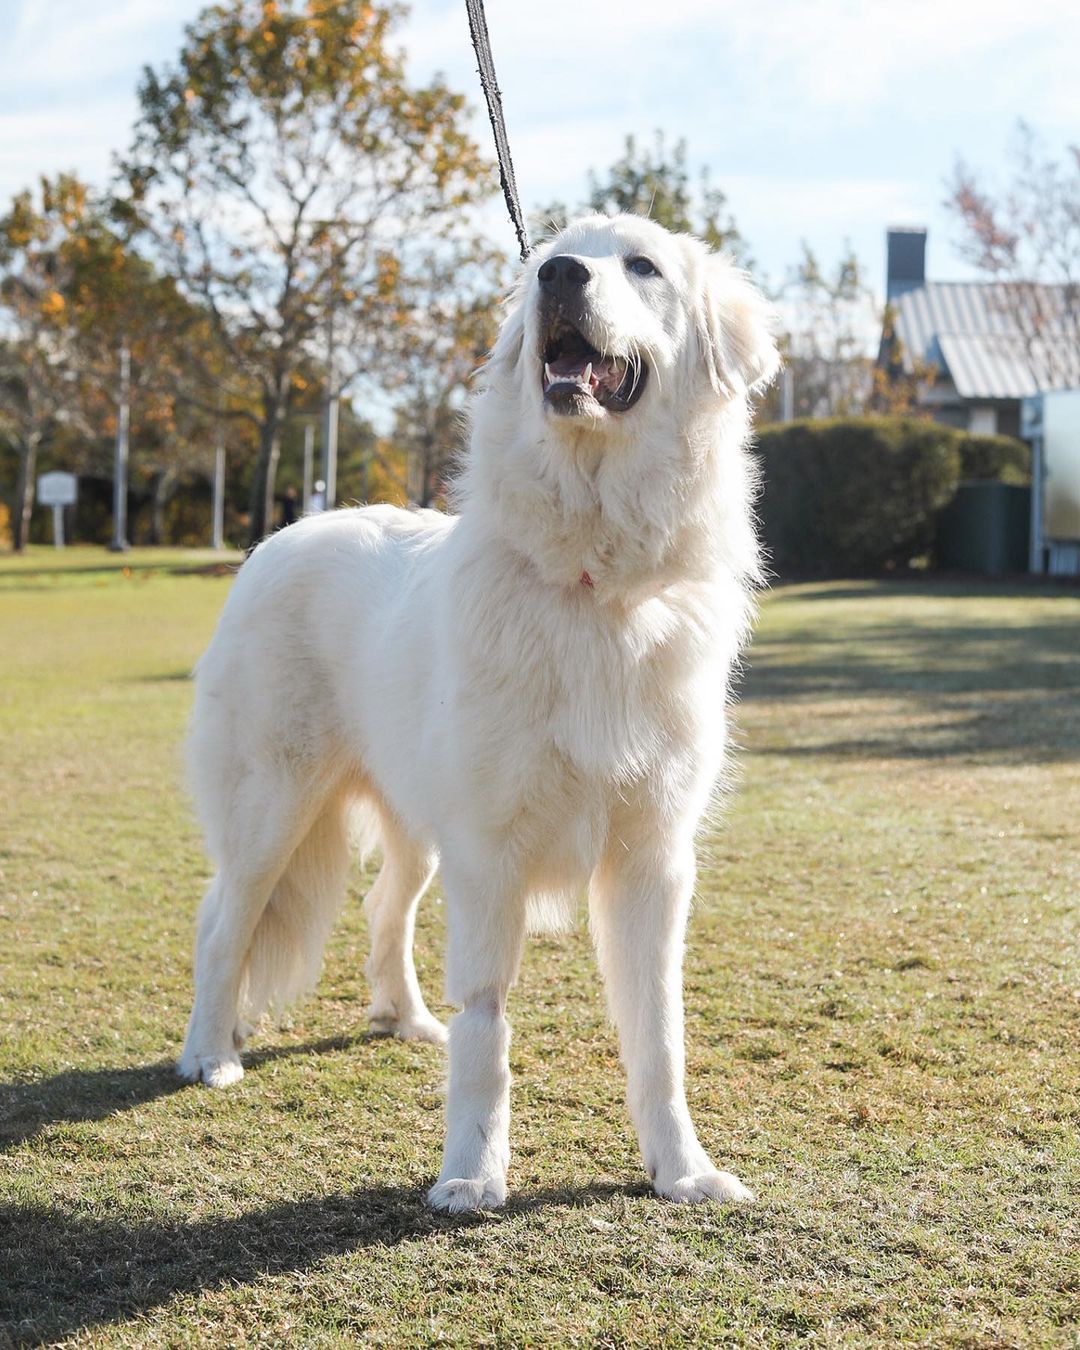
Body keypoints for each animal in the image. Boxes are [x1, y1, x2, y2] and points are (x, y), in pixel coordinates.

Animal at [179, 213, 777, 1215]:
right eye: (547, 260)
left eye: (643, 266)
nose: (560, 276)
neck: (594, 581)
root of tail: (285, 535)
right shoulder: (491, 851)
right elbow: (488, 1029)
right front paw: (471, 1174)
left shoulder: (651, 861)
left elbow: (659, 1035)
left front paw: (683, 1170)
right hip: (273, 808)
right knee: (223, 923)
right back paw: (207, 1056)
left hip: (419, 827)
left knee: (384, 906)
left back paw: (404, 1018)